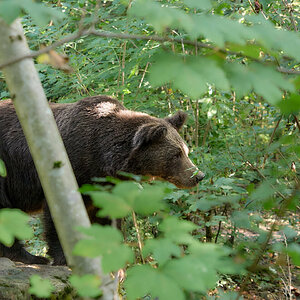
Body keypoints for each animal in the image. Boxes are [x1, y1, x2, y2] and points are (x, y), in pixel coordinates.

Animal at [0, 95, 205, 264]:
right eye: (176, 154)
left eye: (186, 150)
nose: (198, 176)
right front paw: (64, 258)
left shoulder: (105, 186)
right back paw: (30, 257)